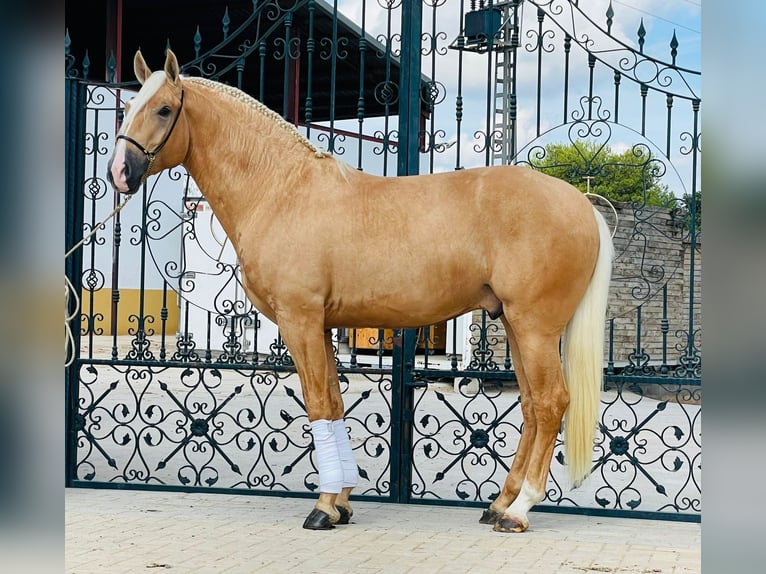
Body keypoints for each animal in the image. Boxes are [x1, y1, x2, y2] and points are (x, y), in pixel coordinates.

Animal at [108, 50, 616, 536]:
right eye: (128, 107)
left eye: (164, 109)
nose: (119, 173)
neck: (281, 189)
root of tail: (581, 202)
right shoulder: (322, 327)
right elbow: (333, 404)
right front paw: (342, 504)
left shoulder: (300, 321)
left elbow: (318, 406)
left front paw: (323, 509)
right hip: (512, 323)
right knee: (531, 405)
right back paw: (499, 504)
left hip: (535, 328)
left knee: (551, 402)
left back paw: (520, 510)